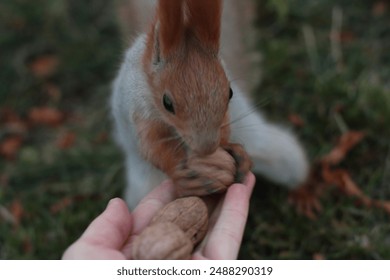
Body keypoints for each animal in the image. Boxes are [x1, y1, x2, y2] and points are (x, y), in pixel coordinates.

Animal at [111, 0, 310, 209]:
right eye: (167, 103)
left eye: (230, 92)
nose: (207, 148)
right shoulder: (138, 109)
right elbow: (152, 146)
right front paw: (185, 174)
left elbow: (225, 125)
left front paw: (234, 152)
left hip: (273, 150)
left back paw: (303, 193)